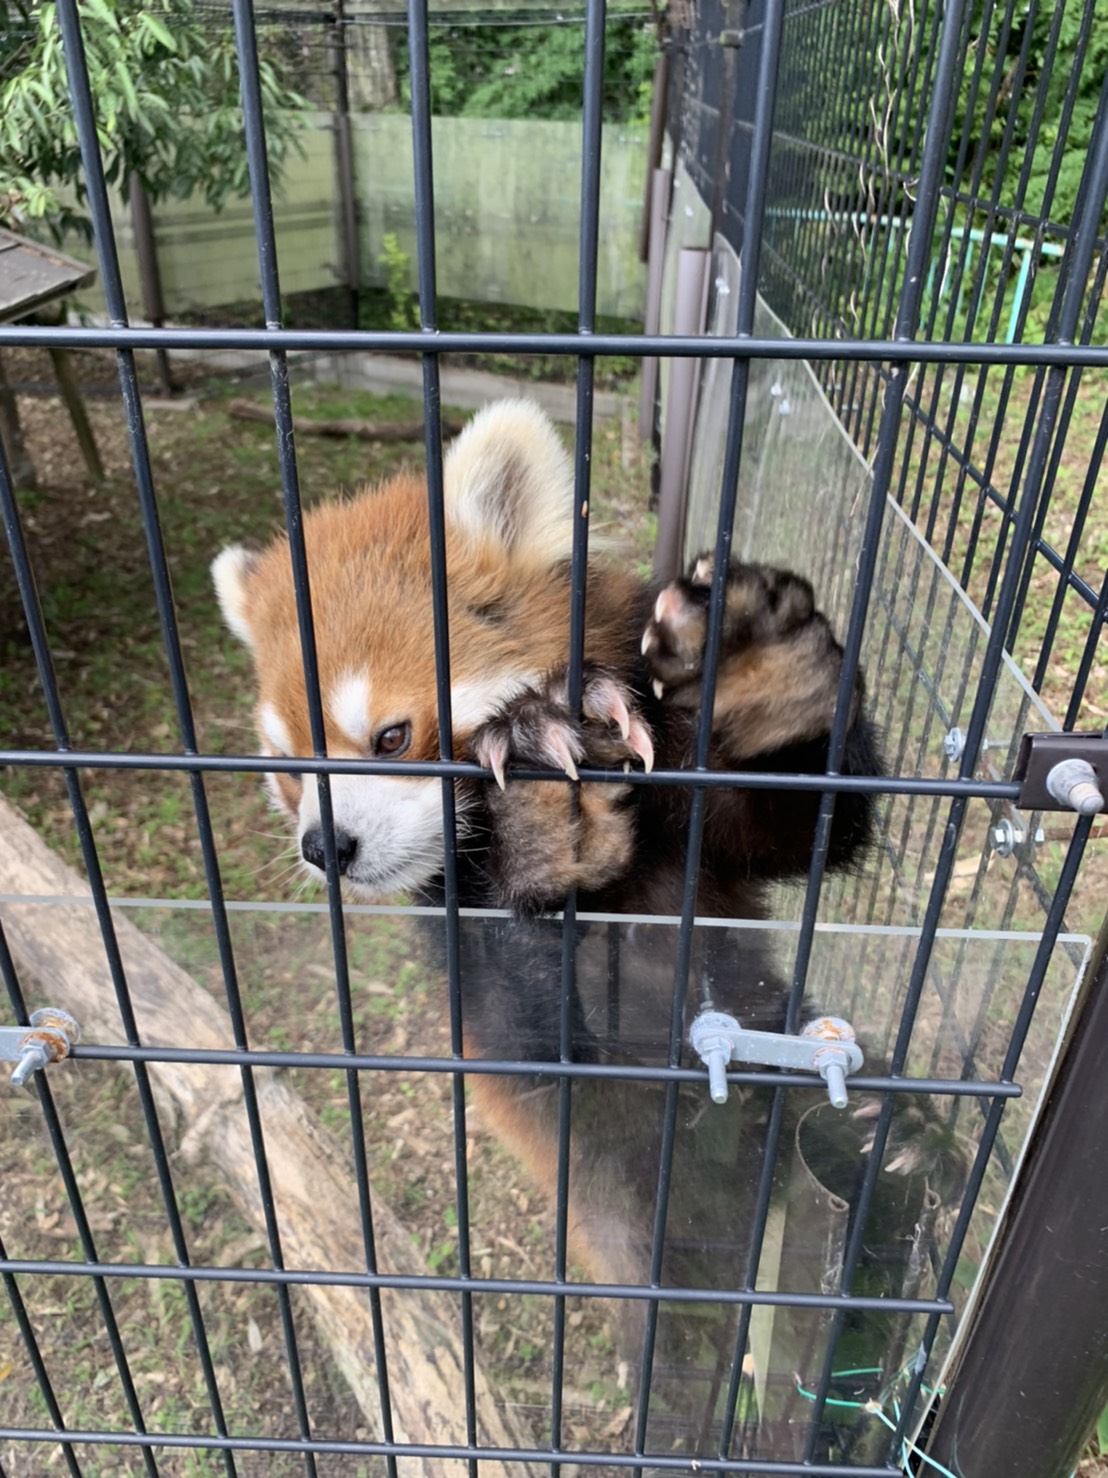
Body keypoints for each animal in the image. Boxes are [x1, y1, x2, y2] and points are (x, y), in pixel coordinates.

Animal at [214, 399, 957, 1448]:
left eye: (391, 738)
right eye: (285, 769)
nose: (327, 847)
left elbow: (804, 820)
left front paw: (758, 668)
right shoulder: (480, 976)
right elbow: (540, 1013)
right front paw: (533, 795)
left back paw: (890, 1141)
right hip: (621, 1197)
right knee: (676, 1320)